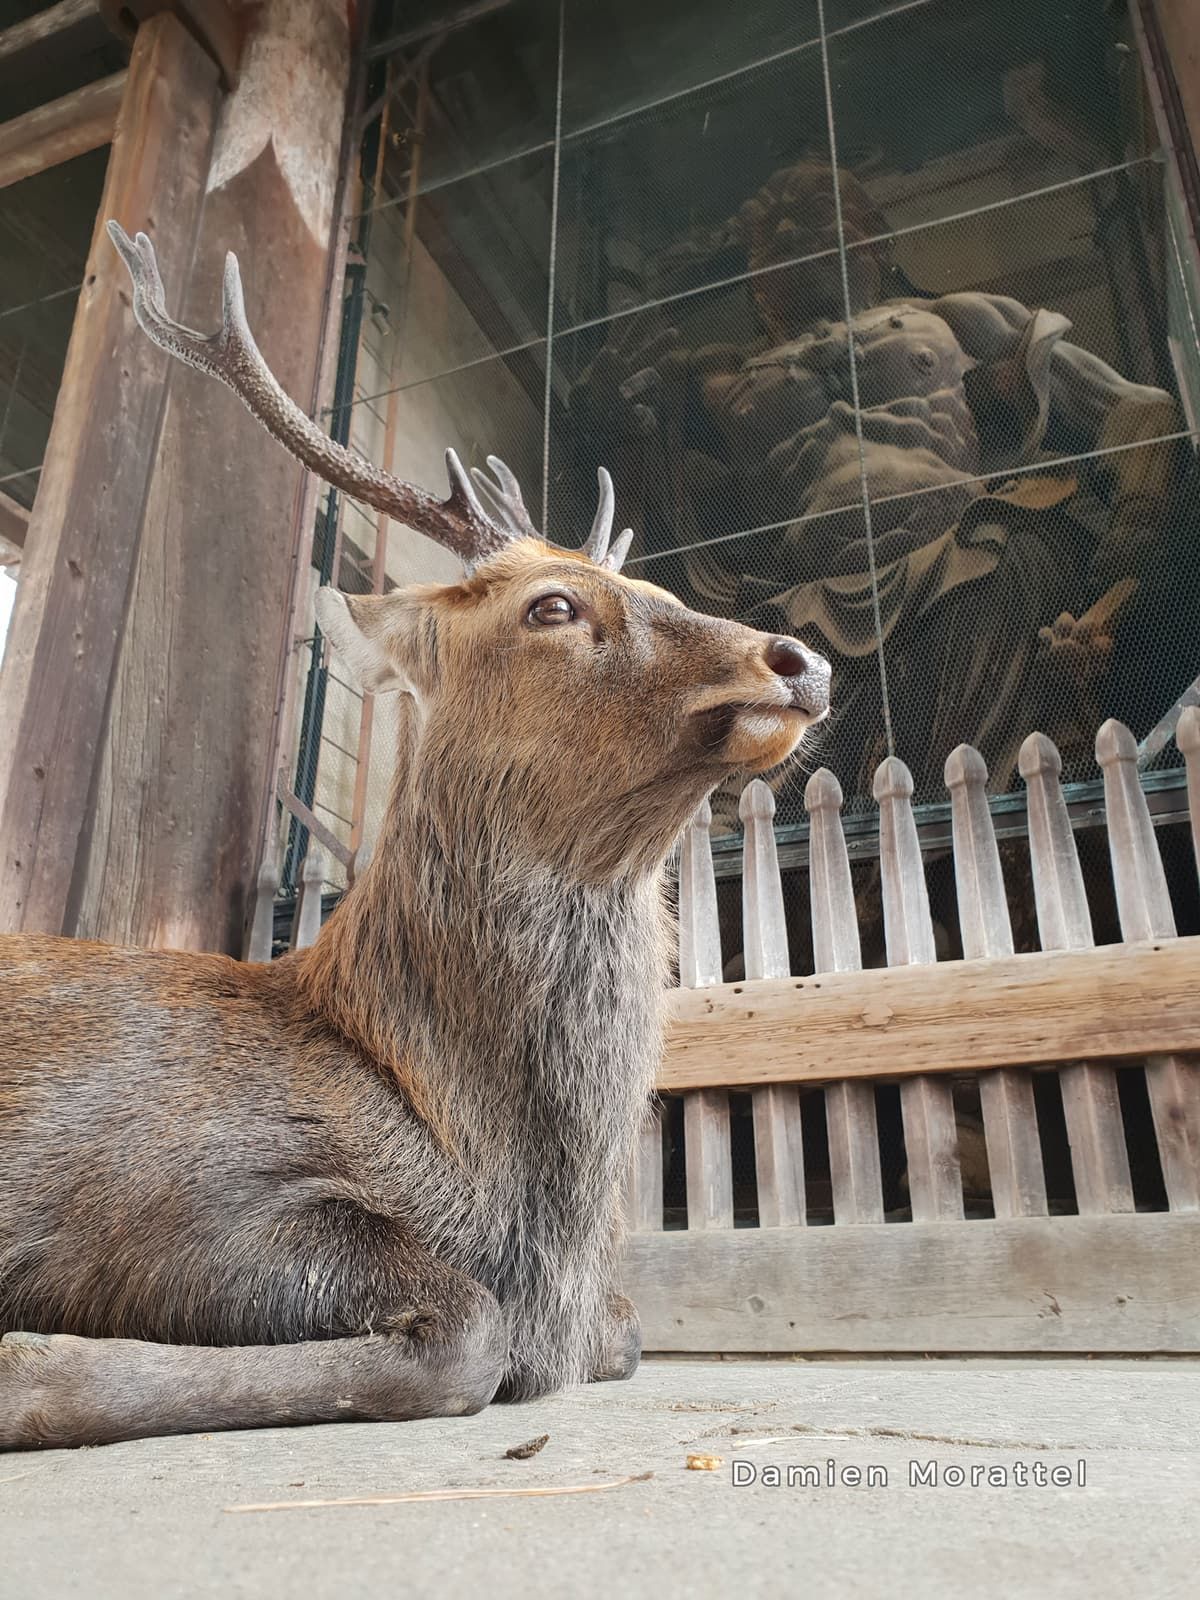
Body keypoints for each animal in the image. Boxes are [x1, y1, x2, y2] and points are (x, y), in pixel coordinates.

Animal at [0, 225, 830, 1450]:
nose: (798, 658)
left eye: (645, 578)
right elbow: (467, 1335)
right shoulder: (157, 1195)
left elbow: (624, 1331)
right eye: (551, 606)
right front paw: (29, 1366)